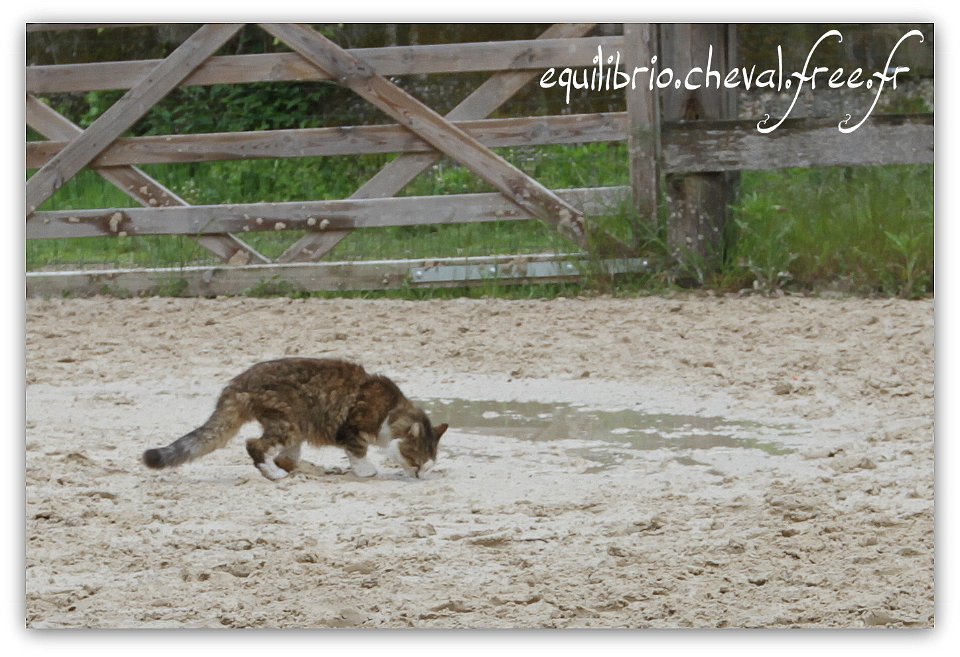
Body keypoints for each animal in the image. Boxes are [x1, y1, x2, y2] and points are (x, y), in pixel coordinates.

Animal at [141, 356, 448, 480]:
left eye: (428, 466)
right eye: (417, 462)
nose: (419, 475)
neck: (390, 410)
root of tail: (235, 384)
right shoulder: (352, 429)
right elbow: (359, 452)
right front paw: (366, 470)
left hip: (294, 426)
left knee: (284, 455)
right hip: (286, 422)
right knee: (256, 446)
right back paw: (275, 475)